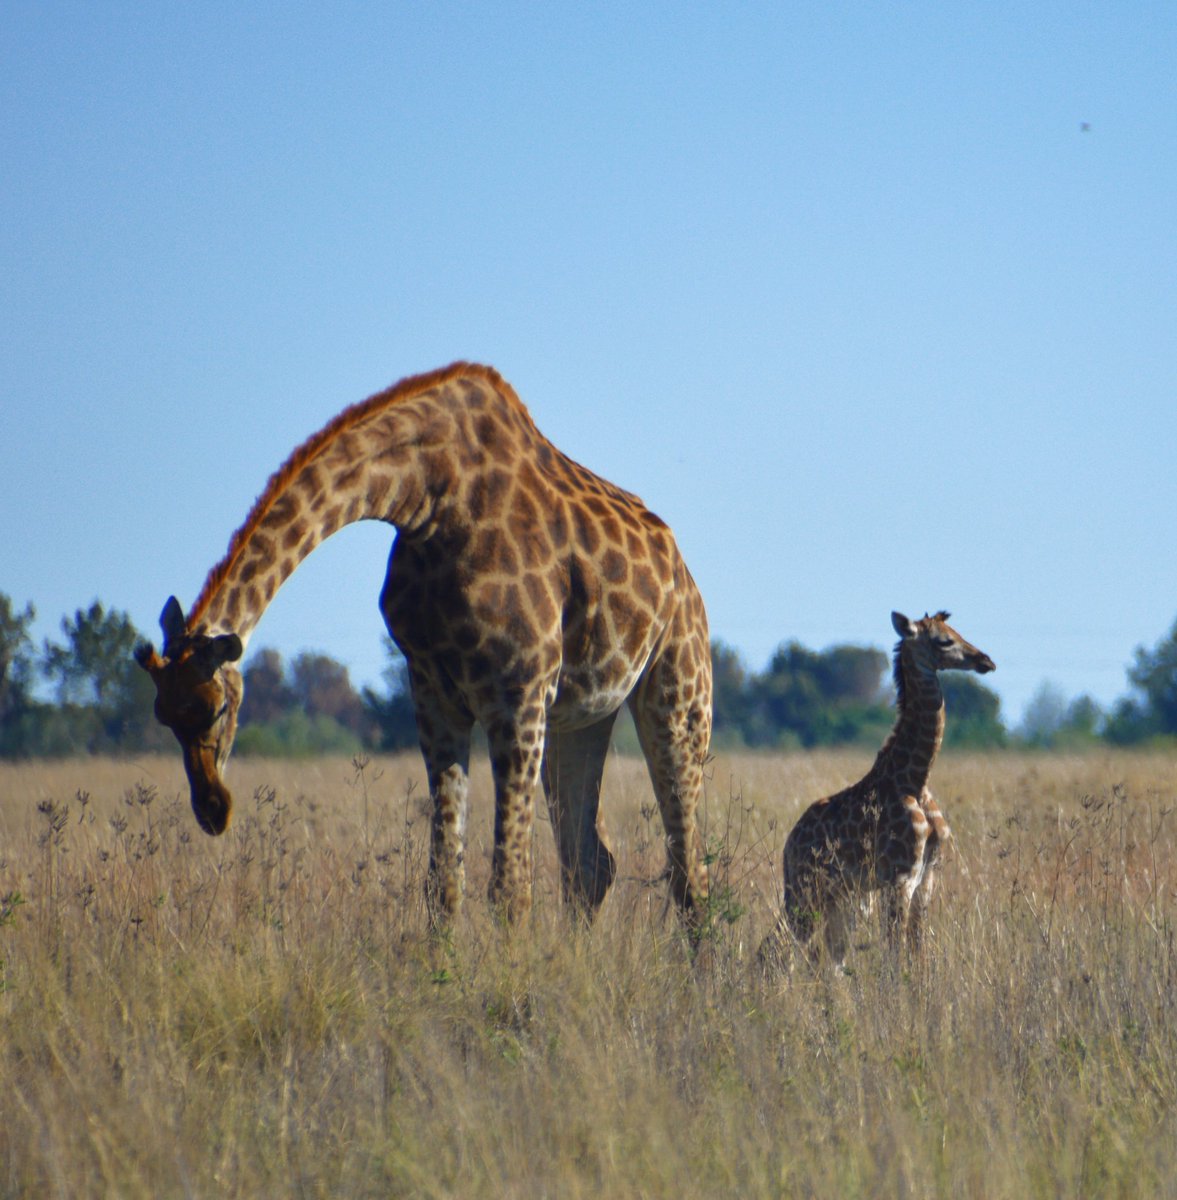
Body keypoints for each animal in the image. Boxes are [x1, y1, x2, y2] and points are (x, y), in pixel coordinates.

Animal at [135, 362, 712, 929]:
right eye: (164, 717)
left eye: (218, 708)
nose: (213, 810)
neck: (426, 501)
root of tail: (684, 576)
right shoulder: (434, 694)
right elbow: (444, 885)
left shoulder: (518, 696)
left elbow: (510, 889)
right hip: (582, 717)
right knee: (591, 865)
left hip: (678, 695)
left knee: (688, 871)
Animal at [759, 611, 995, 970]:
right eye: (944, 641)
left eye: (957, 631)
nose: (986, 660)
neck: (916, 779)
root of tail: (789, 844)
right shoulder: (899, 878)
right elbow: (896, 955)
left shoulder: (927, 877)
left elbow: (918, 951)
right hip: (805, 889)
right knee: (776, 947)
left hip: (839, 898)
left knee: (829, 958)